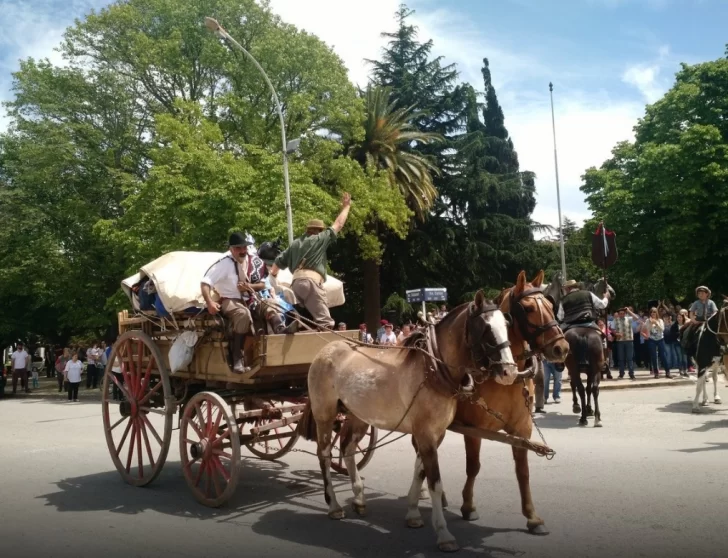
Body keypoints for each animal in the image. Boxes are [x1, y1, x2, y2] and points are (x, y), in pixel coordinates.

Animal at [298, 290, 520, 552]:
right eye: (485, 329)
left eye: (506, 325)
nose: (509, 372)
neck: (433, 370)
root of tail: (326, 349)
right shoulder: (425, 433)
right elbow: (434, 481)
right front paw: (443, 533)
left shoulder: (435, 433)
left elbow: (419, 471)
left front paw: (413, 514)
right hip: (325, 412)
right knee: (324, 453)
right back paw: (333, 505)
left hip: (358, 414)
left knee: (348, 448)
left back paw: (359, 499)